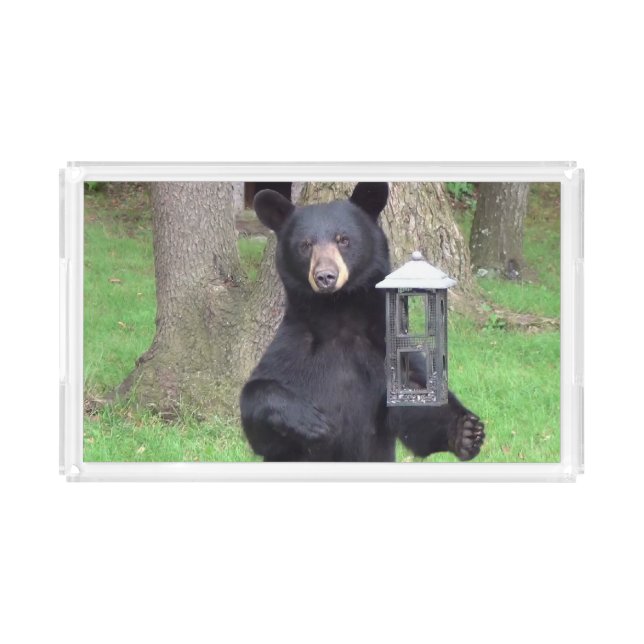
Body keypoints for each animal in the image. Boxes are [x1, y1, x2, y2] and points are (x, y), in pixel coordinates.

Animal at [240, 182, 485, 462]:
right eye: (306, 244)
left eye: (343, 240)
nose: (325, 276)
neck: (339, 313)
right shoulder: (294, 346)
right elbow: (259, 415)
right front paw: (311, 421)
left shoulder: (386, 347)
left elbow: (417, 406)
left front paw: (466, 431)